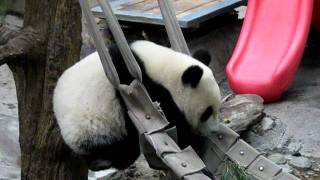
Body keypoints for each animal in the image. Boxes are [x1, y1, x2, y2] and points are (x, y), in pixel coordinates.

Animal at [53, 40, 221, 171]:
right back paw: (102, 161)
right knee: (123, 149)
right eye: (206, 113)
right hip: (92, 128)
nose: (211, 131)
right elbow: (174, 125)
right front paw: (193, 142)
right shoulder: (143, 90)